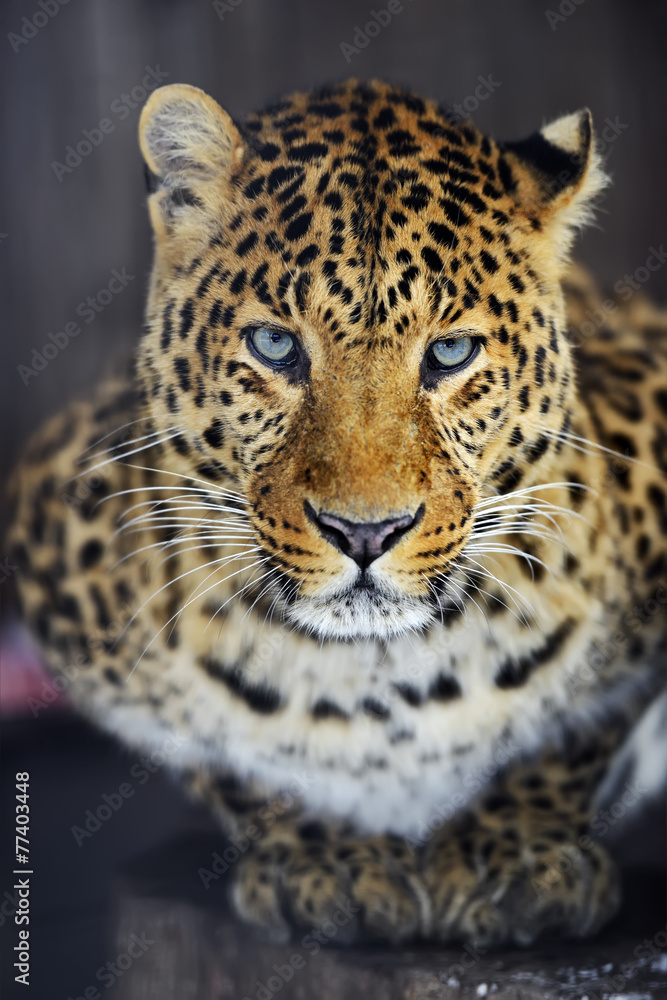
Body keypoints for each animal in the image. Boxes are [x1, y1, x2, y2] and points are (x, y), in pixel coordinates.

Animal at [7, 78, 667, 948]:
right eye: (274, 347)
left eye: (449, 353)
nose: (364, 533)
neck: (380, 681)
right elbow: (225, 755)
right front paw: (330, 853)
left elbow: (581, 726)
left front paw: (511, 853)